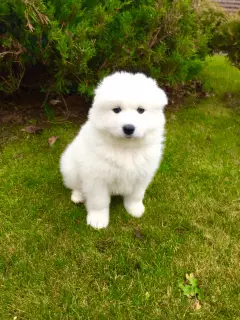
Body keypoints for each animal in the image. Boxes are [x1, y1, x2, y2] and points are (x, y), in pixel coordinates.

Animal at [60, 71, 167, 229]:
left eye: (141, 110)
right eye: (116, 110)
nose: (128, 128)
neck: (125, 148)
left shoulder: (142, 175)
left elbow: (136, 195)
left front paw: (135, 209)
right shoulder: (96, 179)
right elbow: (99, 202)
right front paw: (98, 220)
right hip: (71, 168)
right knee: (75, 185)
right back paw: (78, 196)